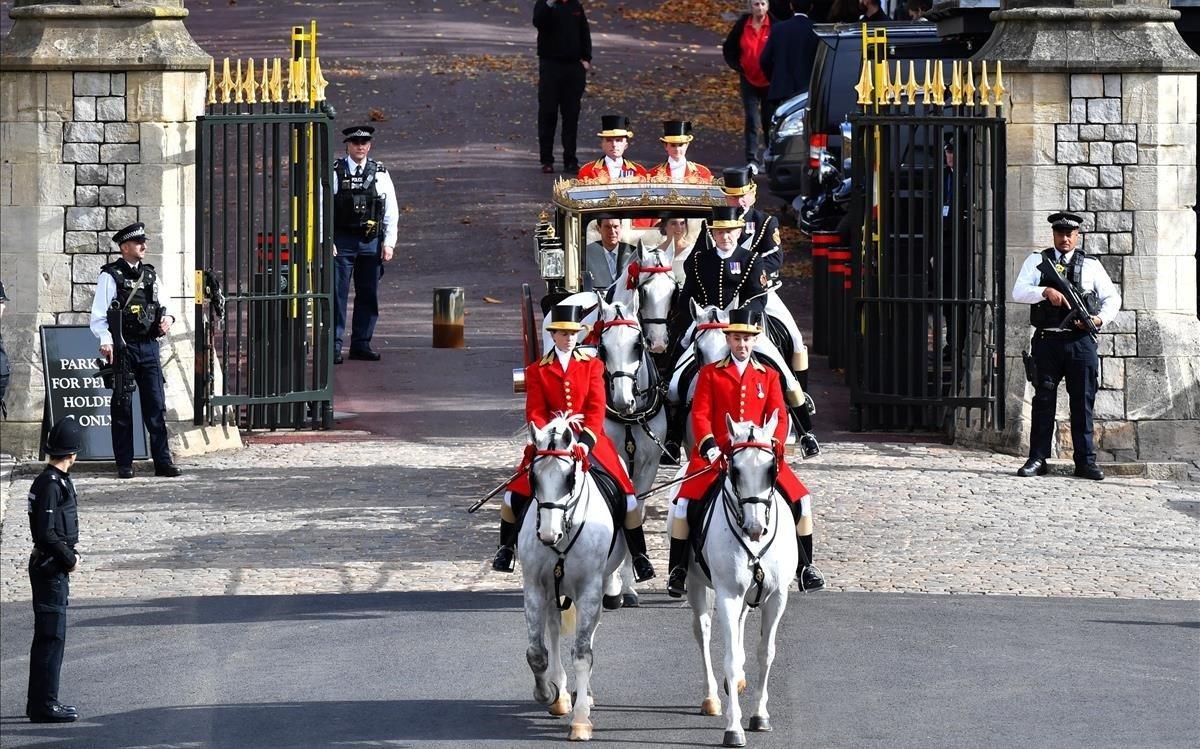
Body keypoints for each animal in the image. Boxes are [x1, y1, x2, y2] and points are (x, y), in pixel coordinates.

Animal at [520, 415, 628, 744]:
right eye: (533, 476)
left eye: (569, 477)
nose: (547, 535)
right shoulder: (534, 588)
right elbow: (537, 653)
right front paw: (548, 693)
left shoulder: (590, 590)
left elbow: (582, 653)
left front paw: (580, 721)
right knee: (554, 630)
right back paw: (563, 693)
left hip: (596, 590)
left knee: (588, 635)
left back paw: (585, 694)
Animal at [672, 412, 801, 744]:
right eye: (735, 469)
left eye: (771, 469)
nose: (755, 529)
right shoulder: (728, 593)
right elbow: (728, 657)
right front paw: (734, 727)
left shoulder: (777, 597)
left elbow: (766, 653)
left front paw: (759, 715)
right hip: (696, 585)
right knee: (703, 632)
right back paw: (712, 698)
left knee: (741, 626)